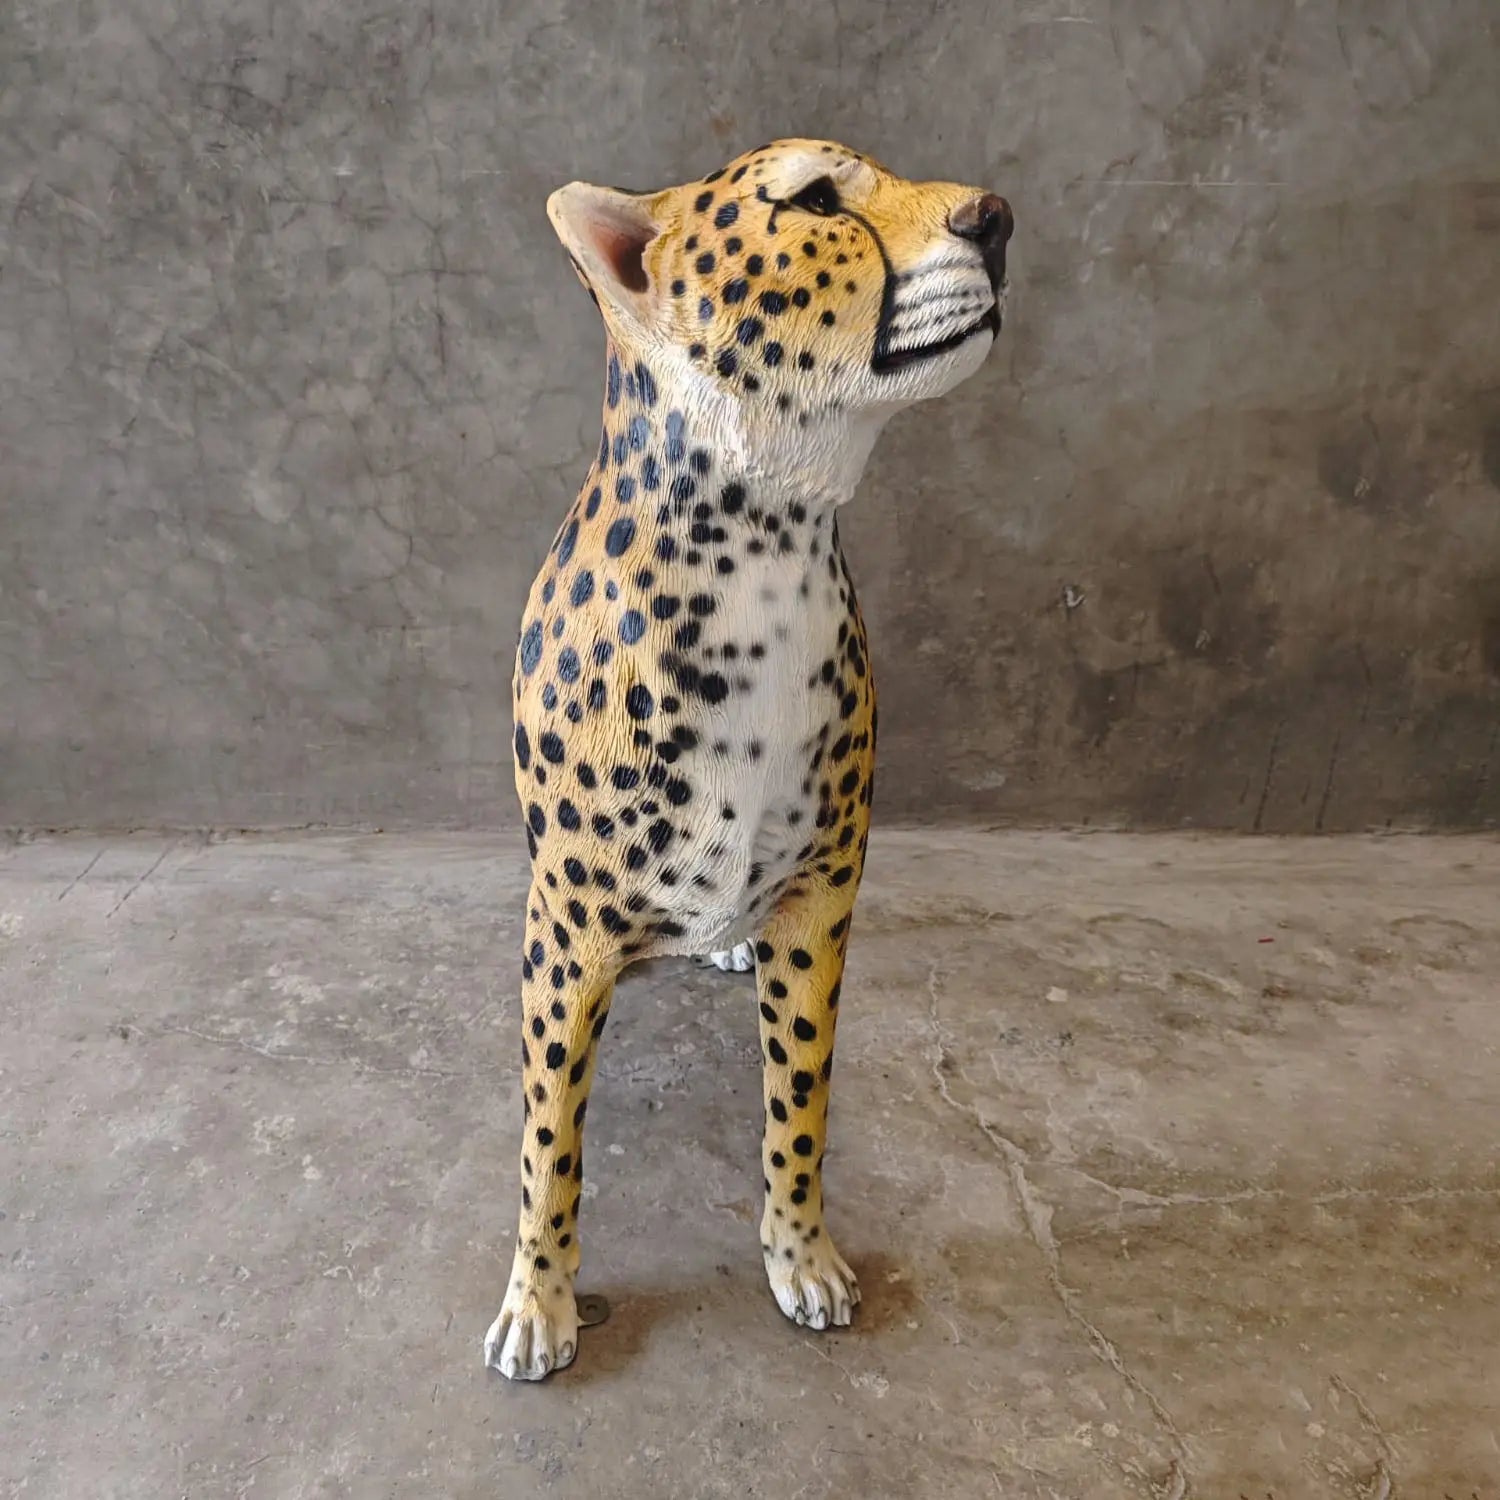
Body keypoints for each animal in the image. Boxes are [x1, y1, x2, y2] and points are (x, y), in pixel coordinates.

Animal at [483, 137, 1013, 1380]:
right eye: (816, 199)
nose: (998, 217)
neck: (762, 553)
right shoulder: (566, 942)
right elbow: (548, 1144)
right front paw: (539, 1297)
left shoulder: (822, 906)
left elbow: (801, 1107)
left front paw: (800, 1254)